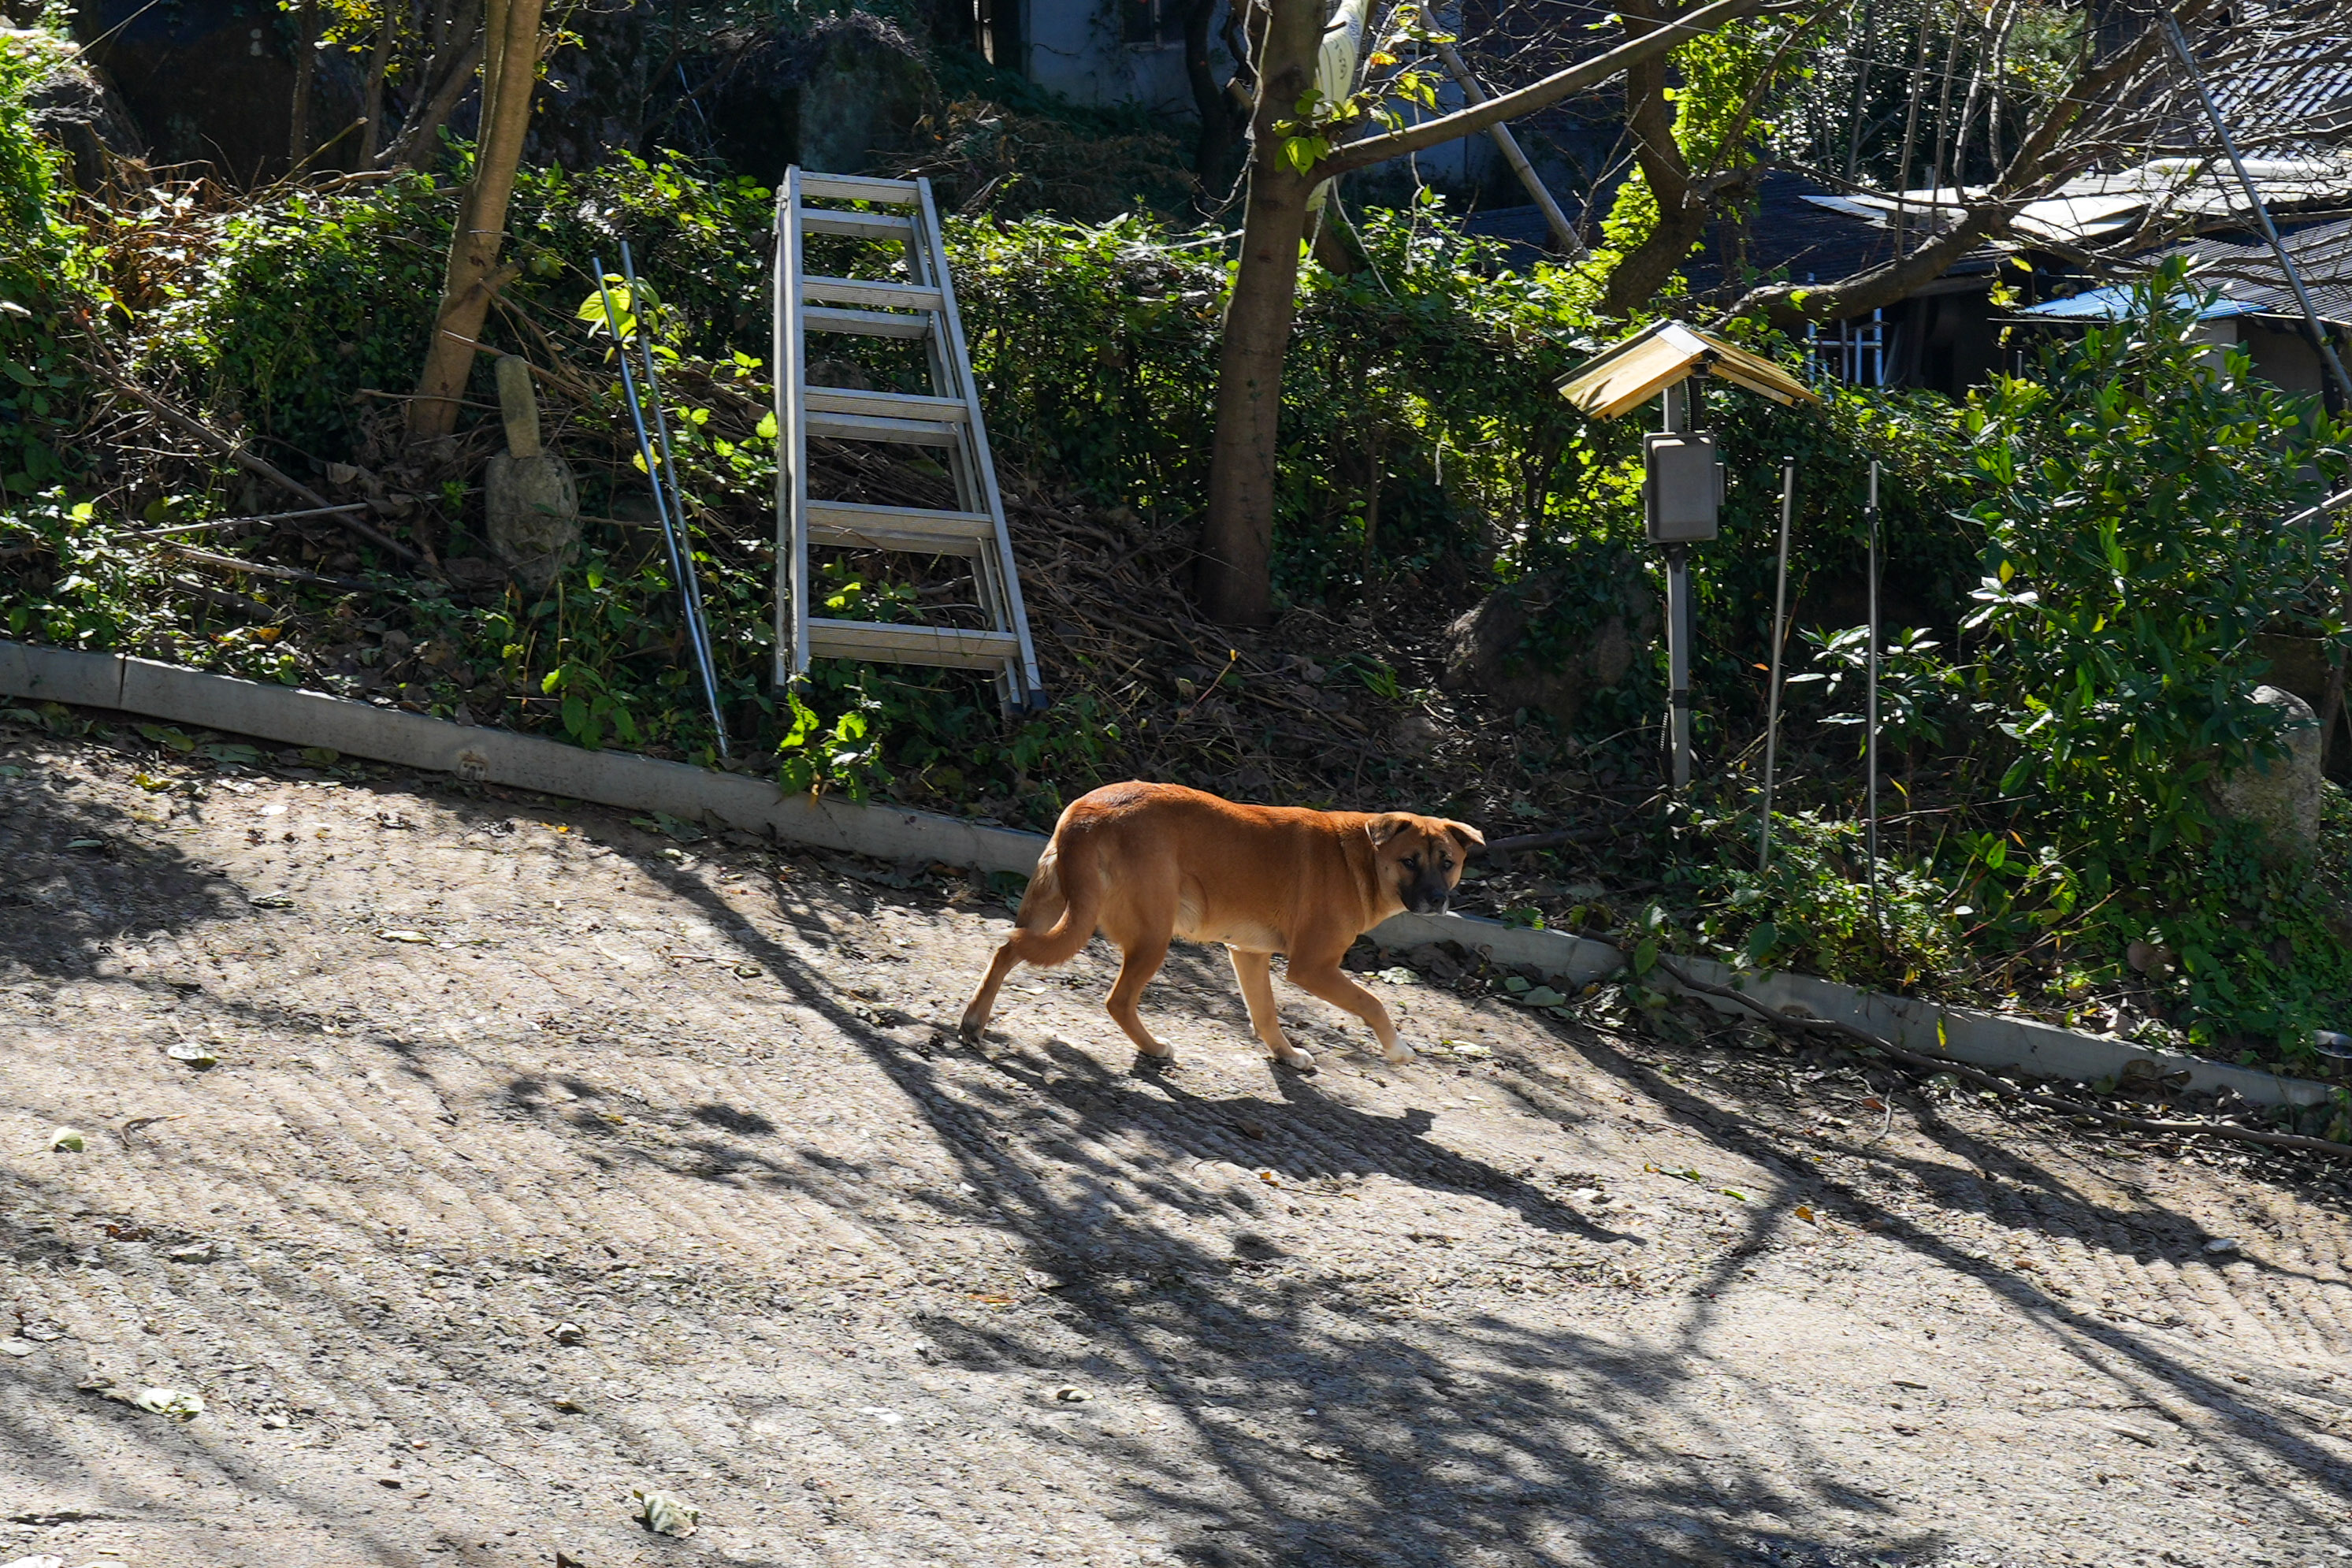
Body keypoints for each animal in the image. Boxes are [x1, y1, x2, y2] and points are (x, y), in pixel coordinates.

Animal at [959, 782, 1483, 1068]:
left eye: (1448, 862)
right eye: (1410, 861)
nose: (1438, 900)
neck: (1357, 857)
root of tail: (1088, 815)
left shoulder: (1248, 955)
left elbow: (1266, 1014)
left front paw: (1286, 1055)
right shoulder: (1312, 967)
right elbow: (1372, 1002)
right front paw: (1397, 1049)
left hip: (1048, 911)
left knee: (1007, 950)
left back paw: (973, 1021)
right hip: (1151, 937)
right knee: (1117, 1001)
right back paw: (1154, 1048)